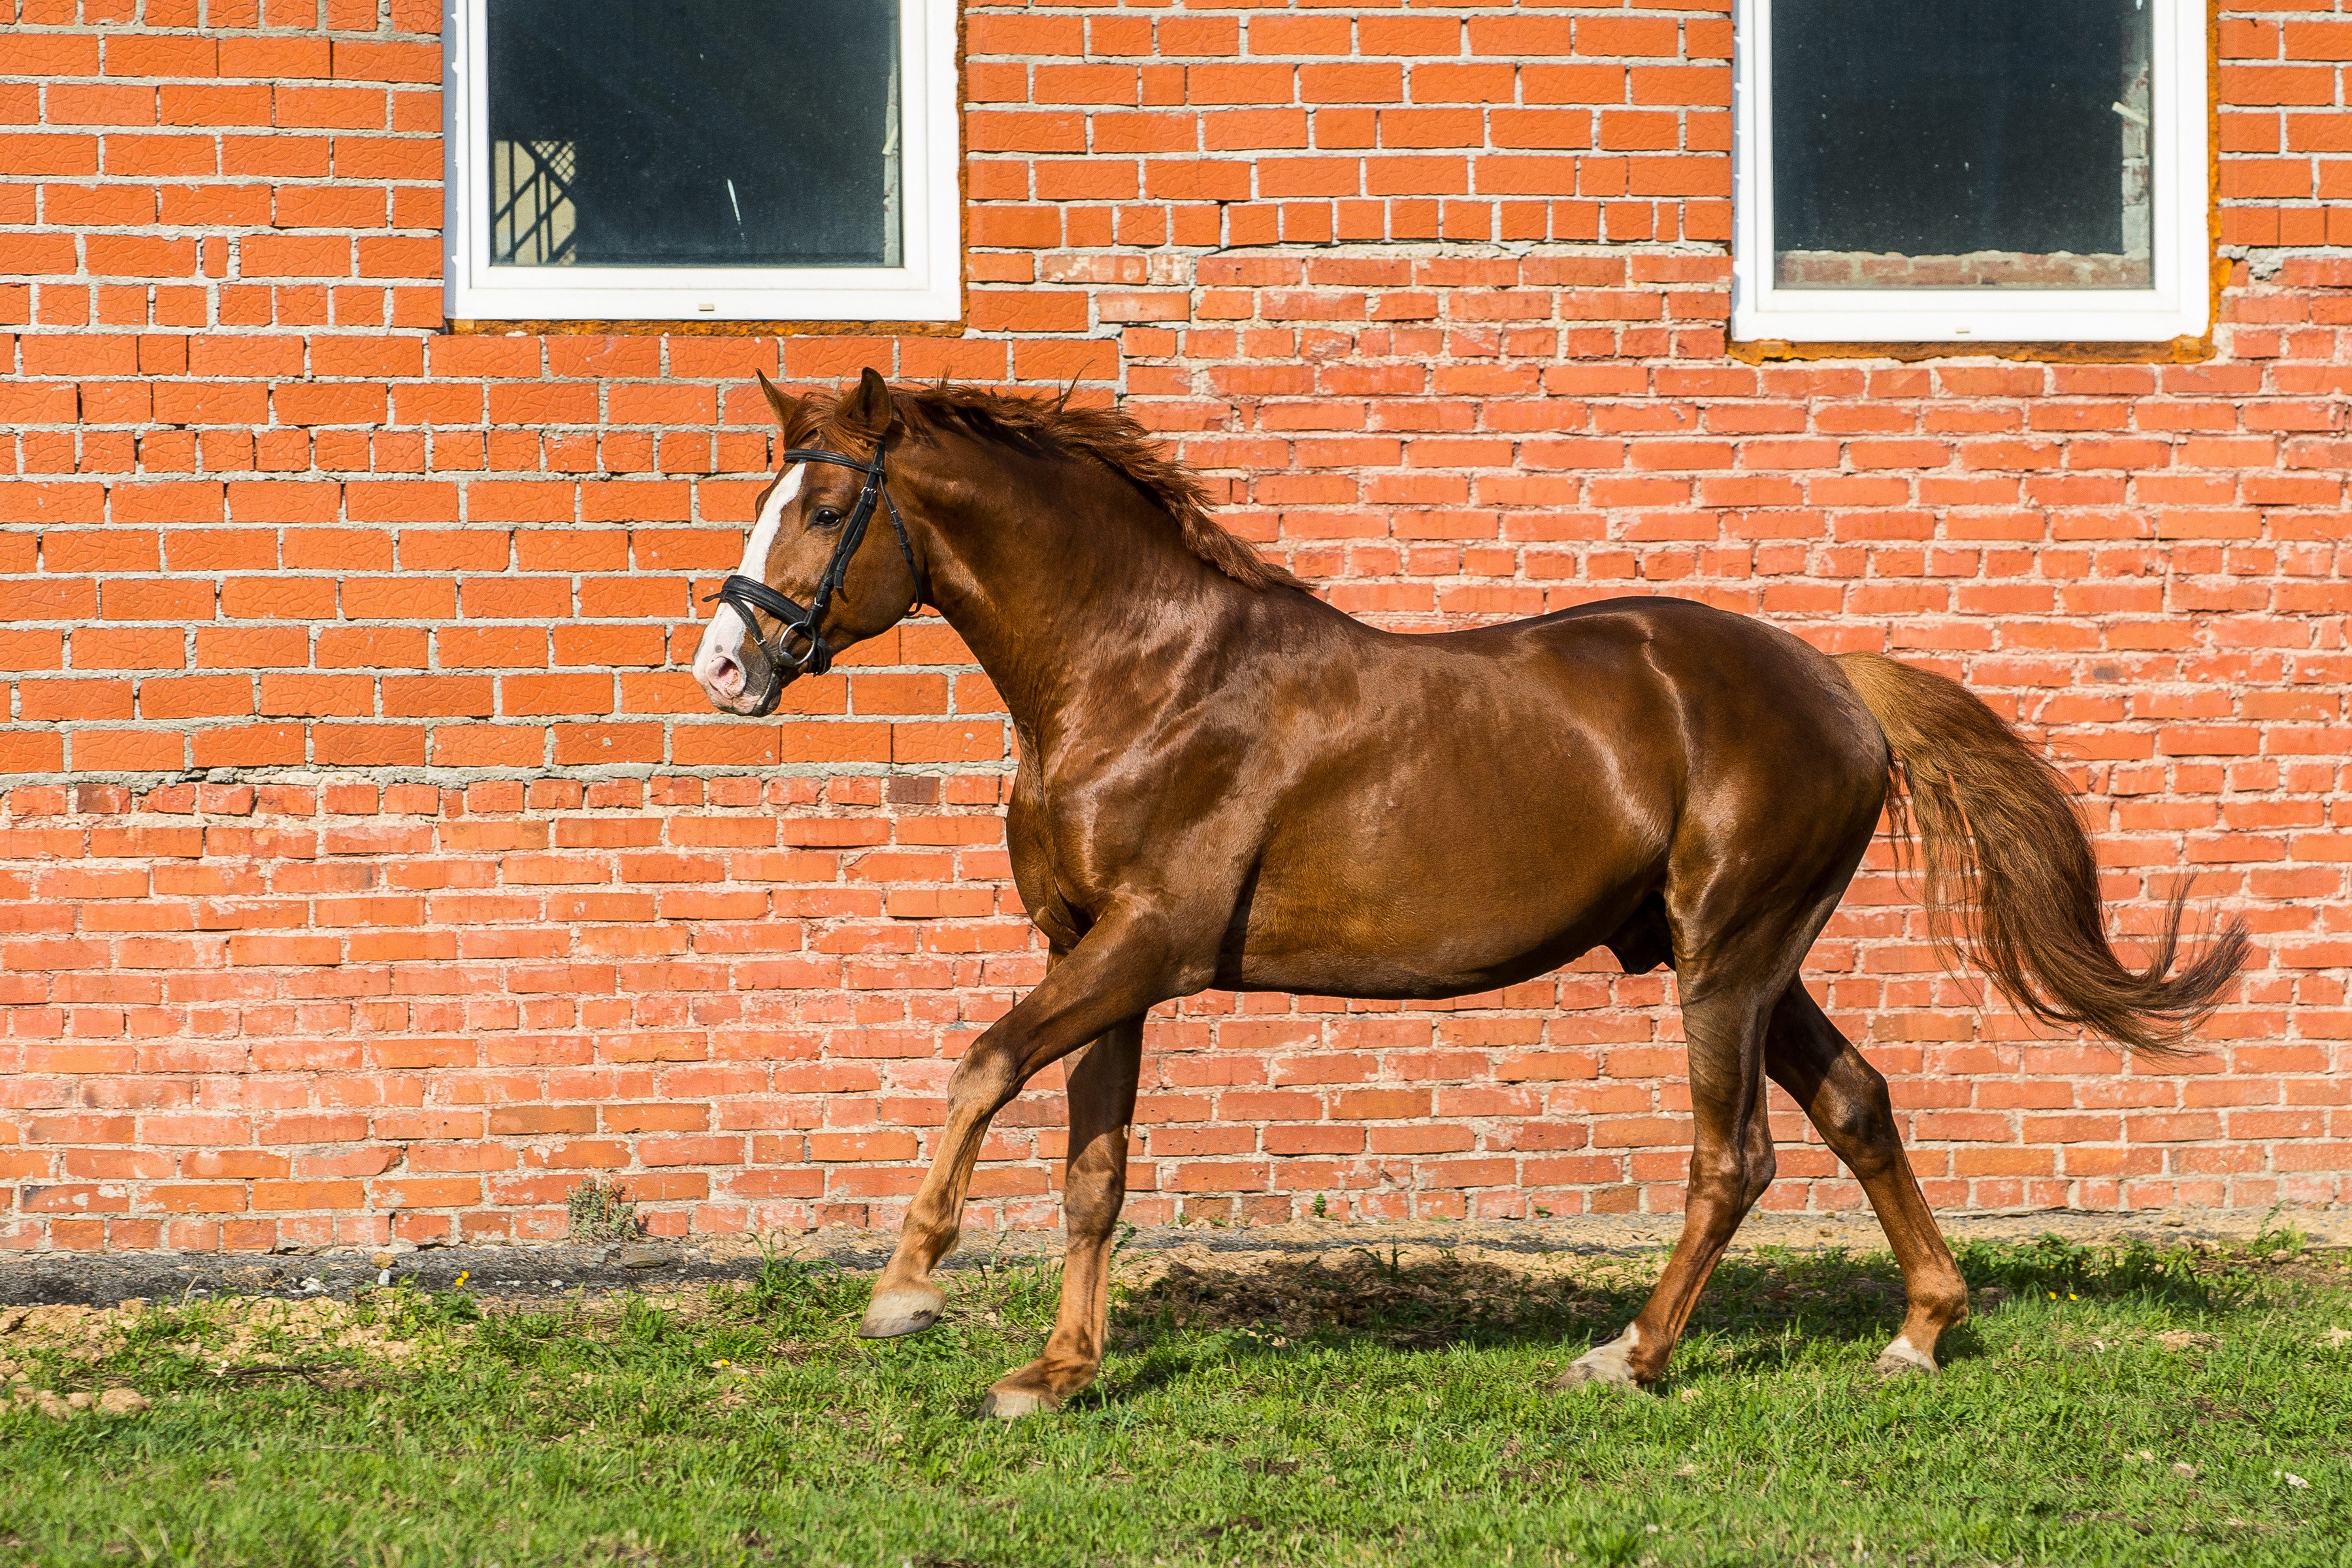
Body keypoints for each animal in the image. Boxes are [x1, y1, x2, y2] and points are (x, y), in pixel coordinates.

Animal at [686, 368, 2247, 1417]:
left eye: (827, 505)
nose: (724, 667)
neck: (1141, 676)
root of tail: (1835, 680)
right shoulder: (1094, 951)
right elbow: (1093, 1172)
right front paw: (1059, 1375)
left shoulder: (1146, 948)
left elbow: (982, 1063)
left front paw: (905, 1289)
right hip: (1759, 959)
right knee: (1858, 1104)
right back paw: (1920, 1332)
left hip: (1729, 961)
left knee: (1734, 1159)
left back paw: (1631, 1355)